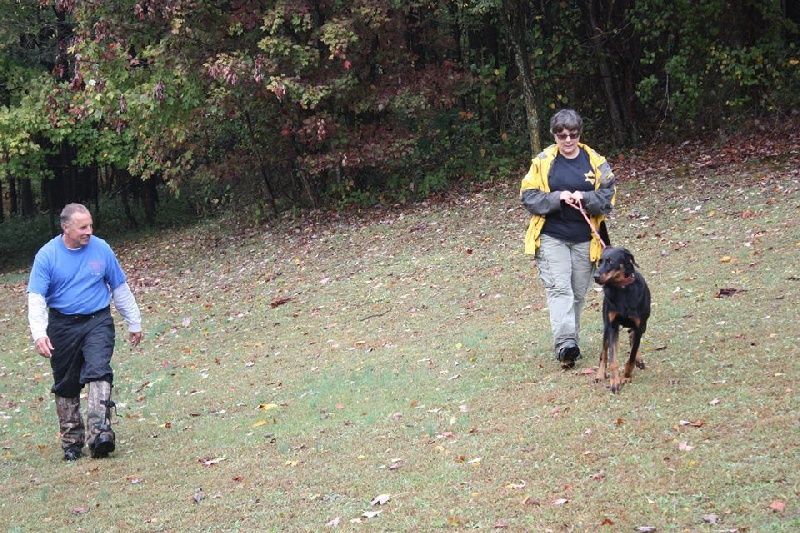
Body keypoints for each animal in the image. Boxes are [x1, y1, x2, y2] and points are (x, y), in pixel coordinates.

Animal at [592, 247, 648, 392]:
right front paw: (615, 381)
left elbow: (632, 356)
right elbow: (612, 358)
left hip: (643, 326)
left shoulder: (639, 326)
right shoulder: (612, 326)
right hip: (606, 326)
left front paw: (626, 376)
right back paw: (600, 374)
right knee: (604, 353)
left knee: (632, 337)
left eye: (610, 262)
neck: (623, 288)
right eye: (599, 262)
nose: (595, 276)